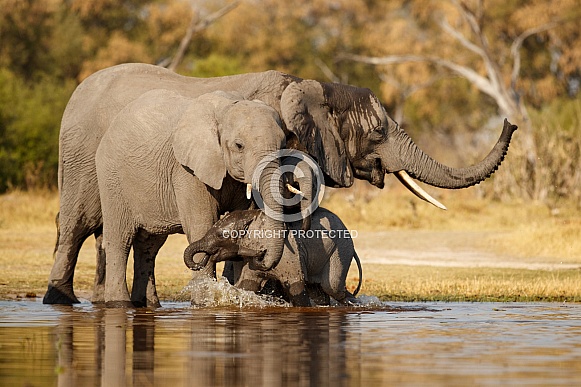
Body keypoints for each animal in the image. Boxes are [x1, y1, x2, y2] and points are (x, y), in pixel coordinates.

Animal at [184, 208, 360, 308]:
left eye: (221, 236)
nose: (204, 258)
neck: (253, 217)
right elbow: (247, 285)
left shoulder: (289, 254)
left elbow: (296, 286)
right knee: (319, 290)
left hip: (341, 248)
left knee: (332, 287)